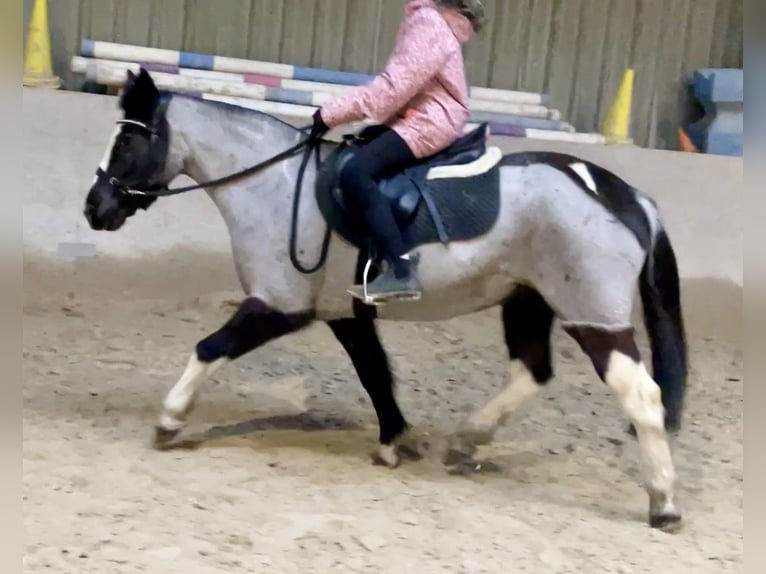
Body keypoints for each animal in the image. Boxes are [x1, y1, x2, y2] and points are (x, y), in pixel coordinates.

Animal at [83, 68, 688, 531]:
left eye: (129, 140)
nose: (95, 208)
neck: (275, 187)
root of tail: (626, 196)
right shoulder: (344, 314)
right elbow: (375, 372)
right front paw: (397, 440)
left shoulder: (279, 305)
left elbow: (209, 348)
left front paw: (169, 420)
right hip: (527, 300)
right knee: (532, 370)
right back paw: (467, 440)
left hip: (594, 318)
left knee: (642, 397)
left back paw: (663, 503)